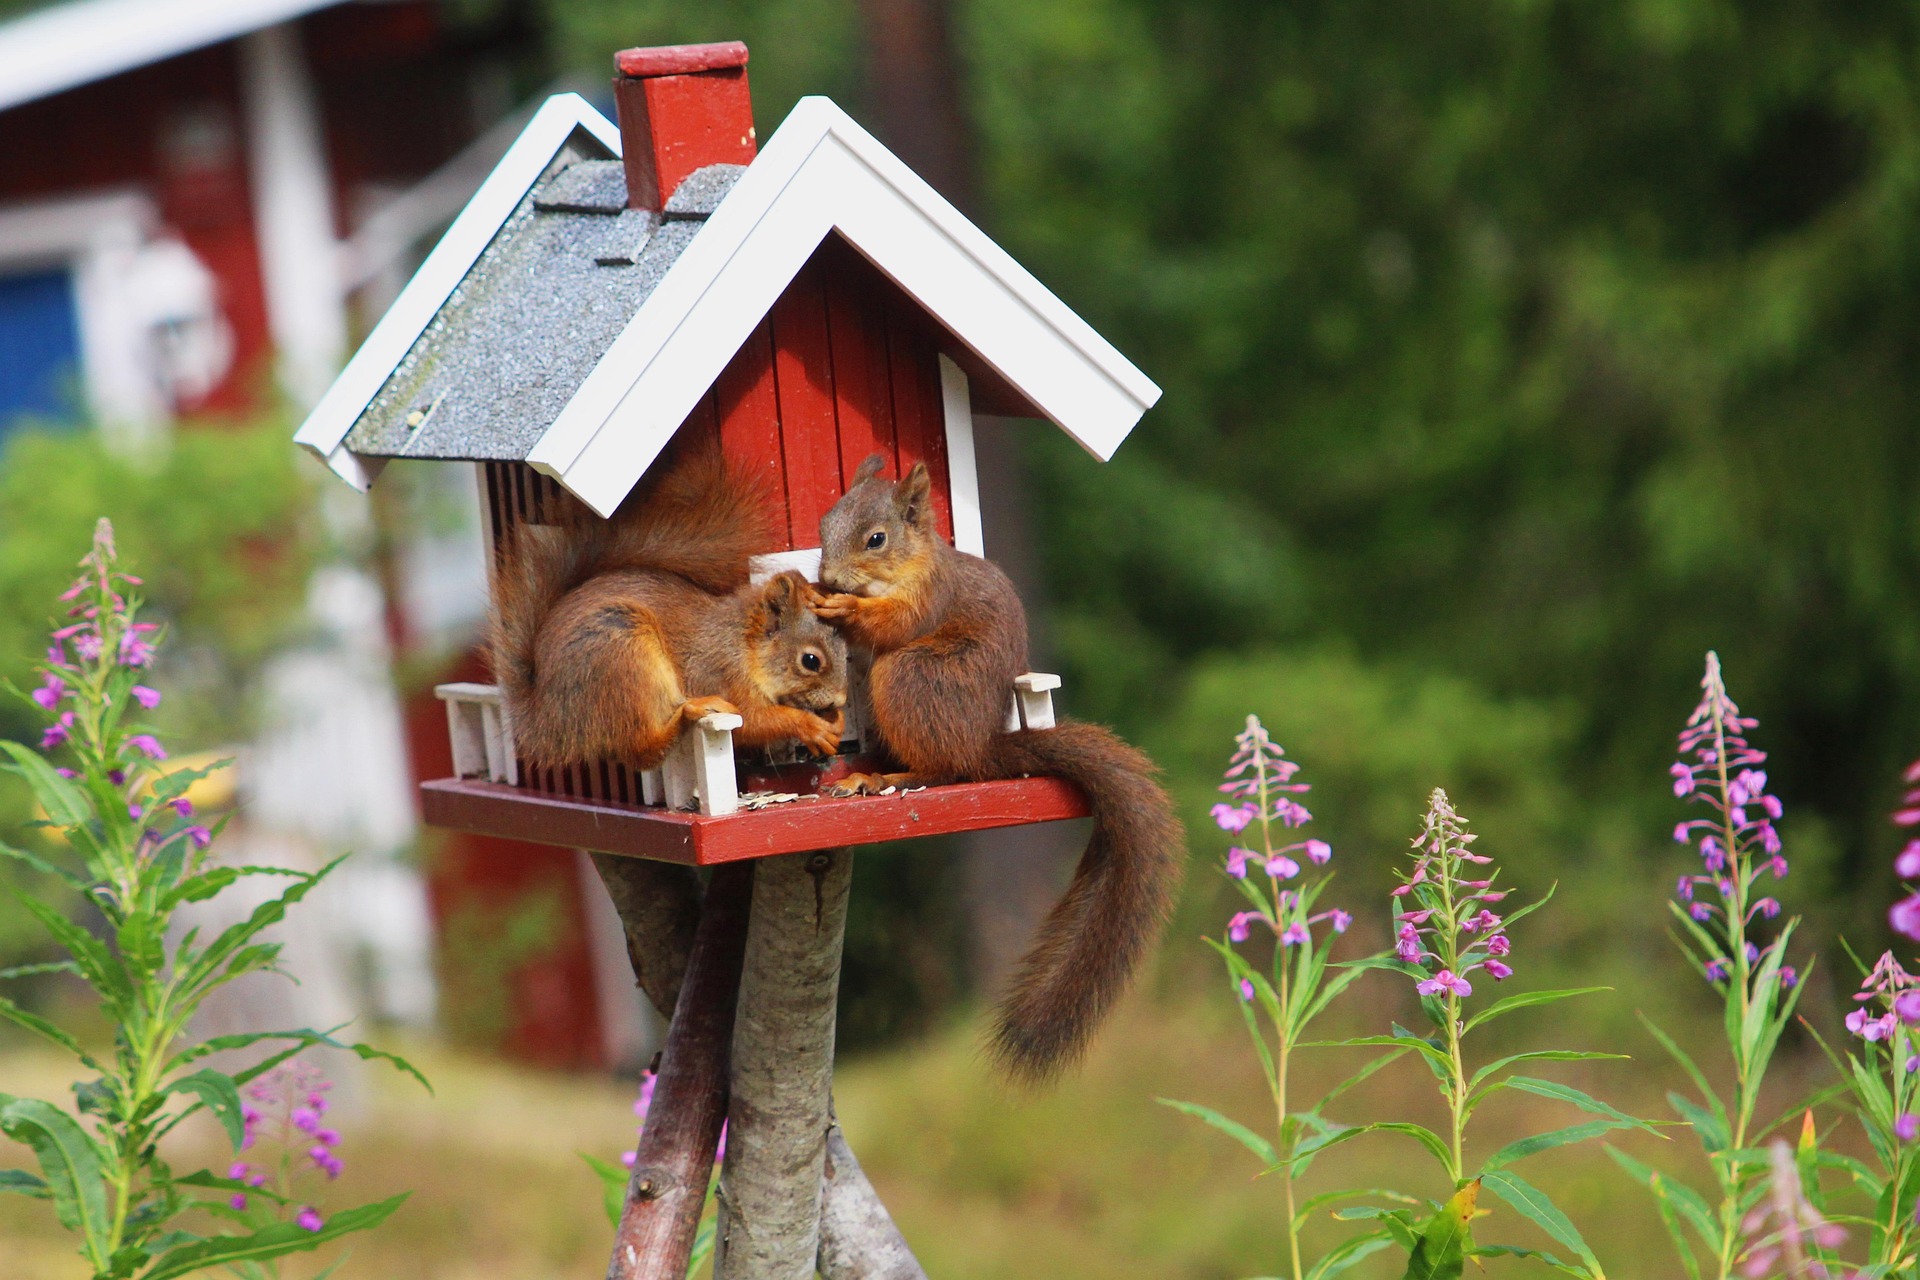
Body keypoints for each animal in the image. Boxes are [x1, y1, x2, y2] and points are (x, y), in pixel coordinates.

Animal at [489, 448, 848, 771]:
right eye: (810, 661)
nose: (840, 700)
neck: (743, 642)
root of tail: (545, 718)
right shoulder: (720, 672)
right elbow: (754, 720)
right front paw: (812, 727)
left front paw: (837, 721)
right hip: (620, 656)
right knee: (642, 751)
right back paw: (689, 712)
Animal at [809, 454, 1185, 1082]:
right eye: (822, 526)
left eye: (876, 539)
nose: (830, 577)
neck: (911, 564)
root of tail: (981, 747)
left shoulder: (928, 597)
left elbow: (893, 623)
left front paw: (842, 607)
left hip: (909, 678)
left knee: (944, 771)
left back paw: (886, 777)